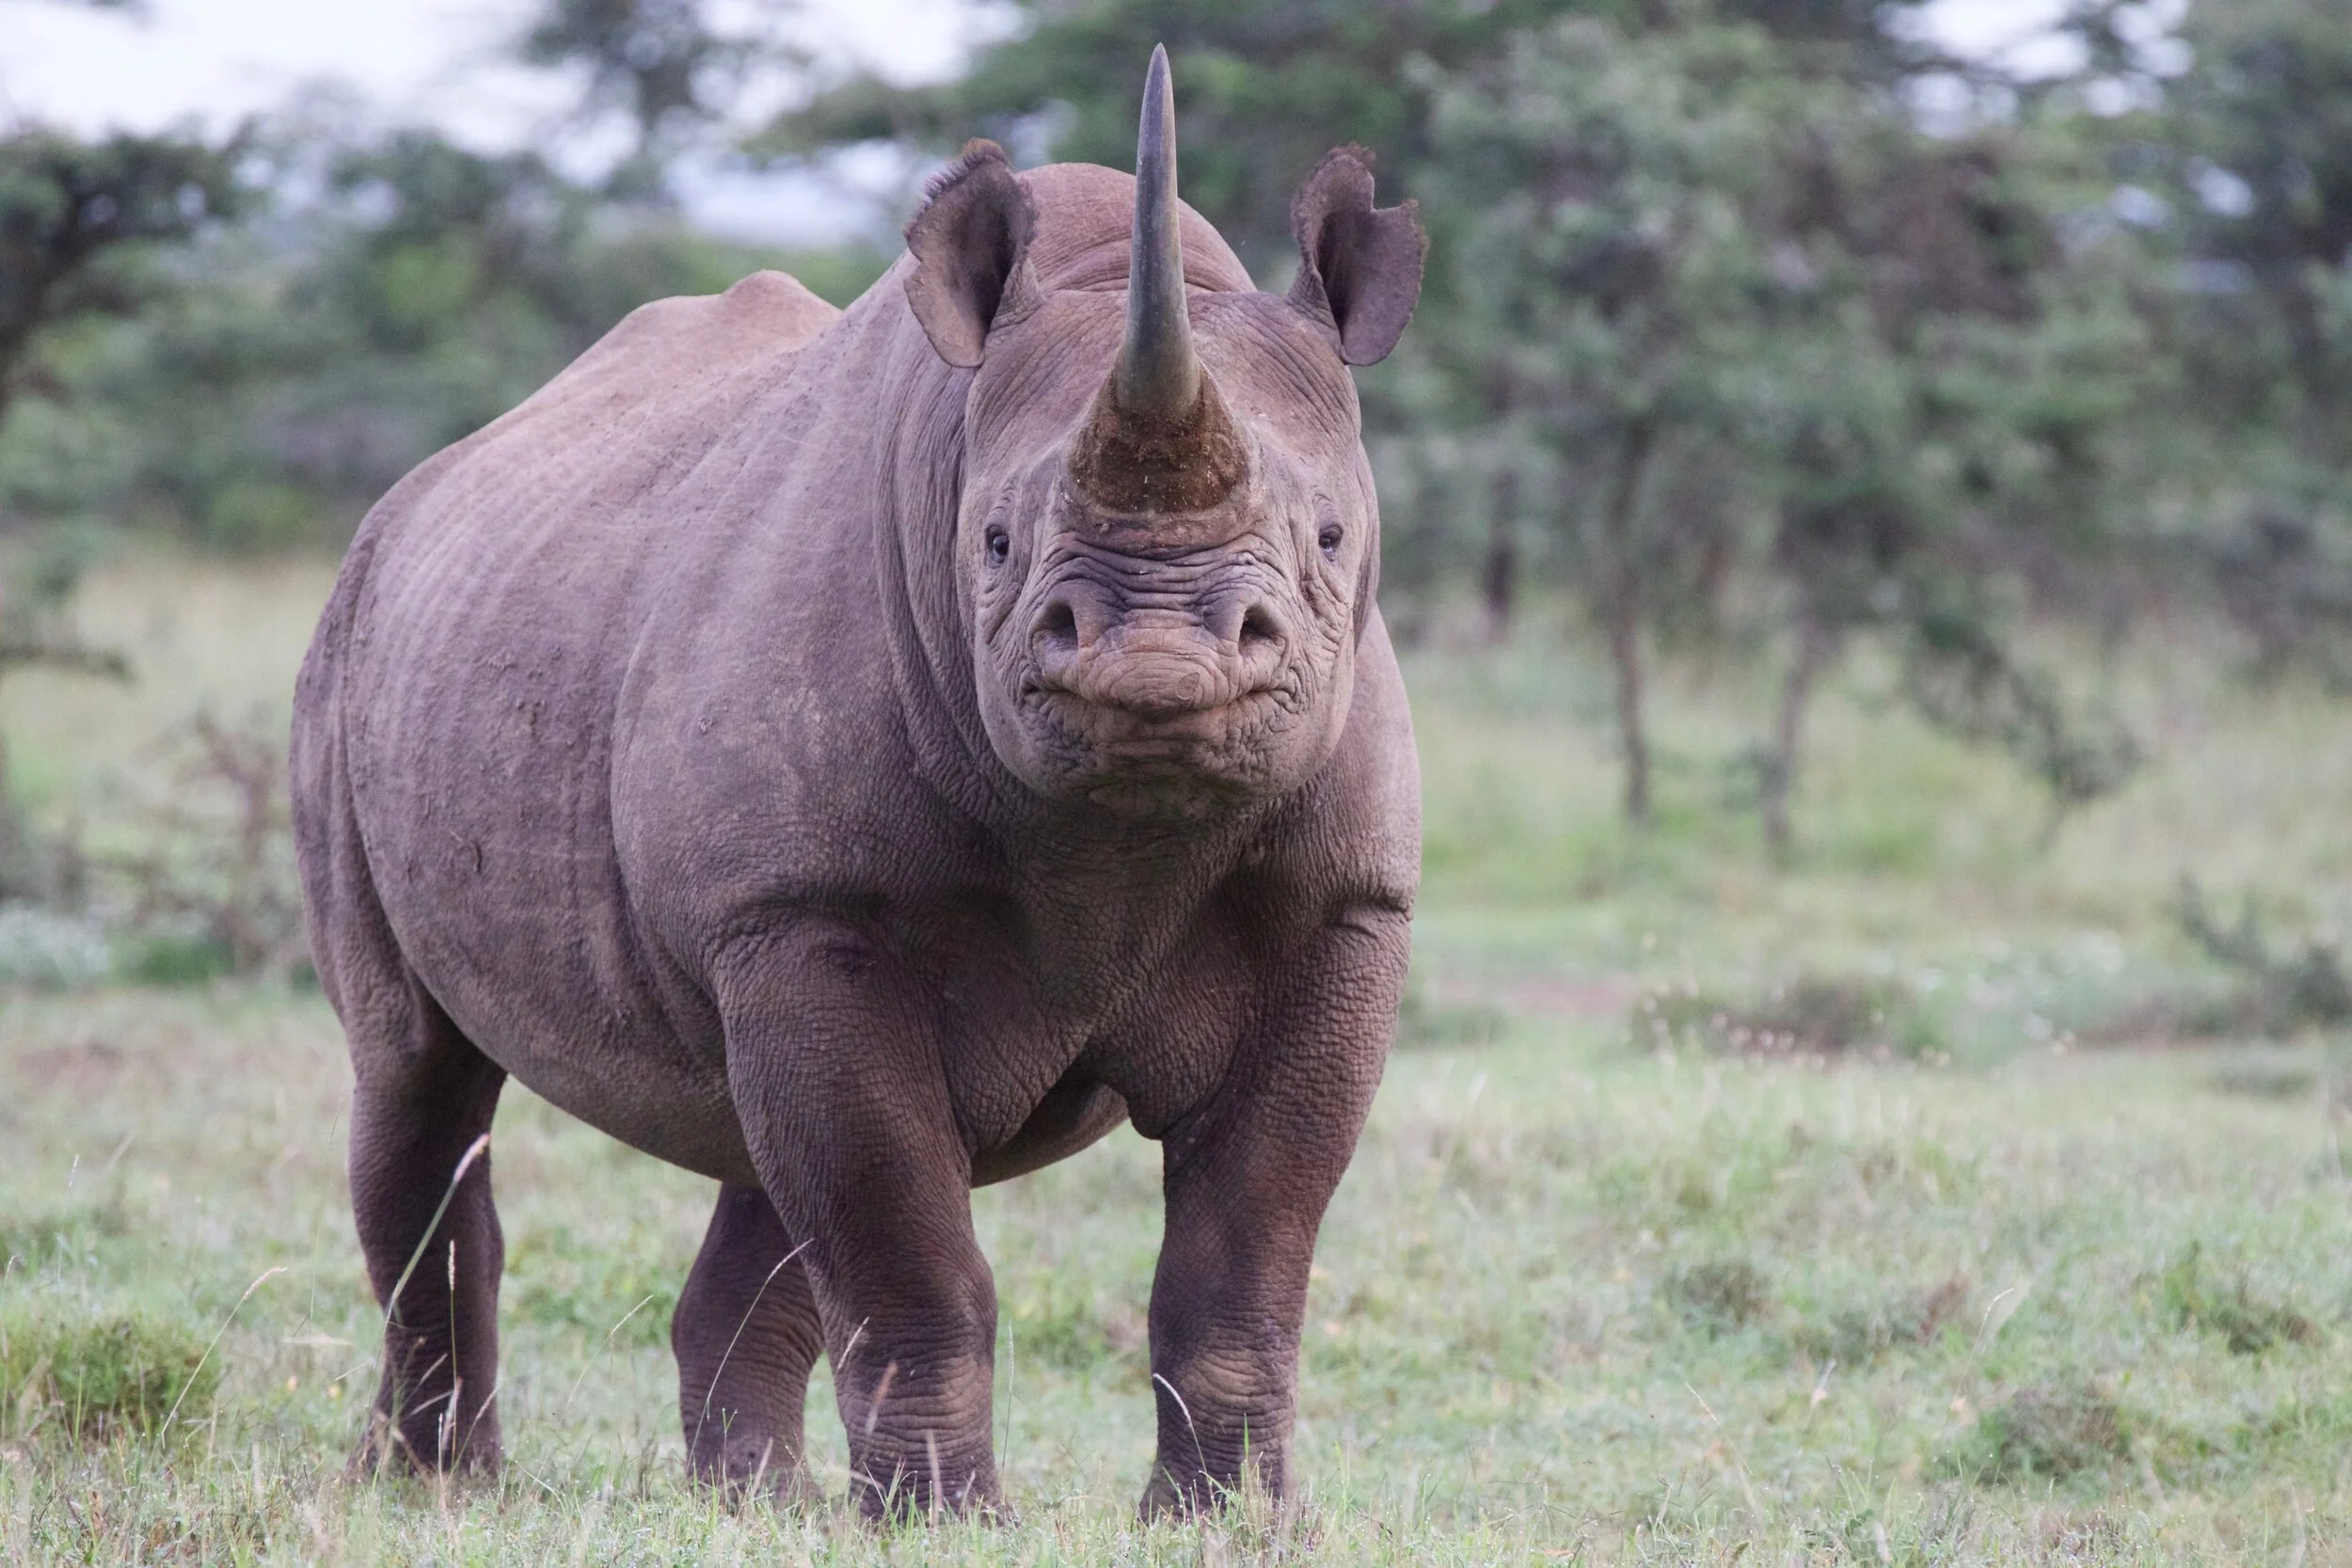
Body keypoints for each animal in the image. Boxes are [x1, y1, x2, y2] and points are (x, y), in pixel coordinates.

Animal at [290, 48, 1424, 1517]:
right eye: (992, 542)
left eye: (1333, 538)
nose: (1159, 656)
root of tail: (419, 489)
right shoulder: (805, 900)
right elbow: (902, 1239)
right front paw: (948, 1522)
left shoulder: (1345, 904)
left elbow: (1246, 1252)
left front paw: (1227, 1519)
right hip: (349, 645)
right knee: (416, 1074)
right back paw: (440, 1488)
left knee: (759, 1157)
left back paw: (752, 1503)